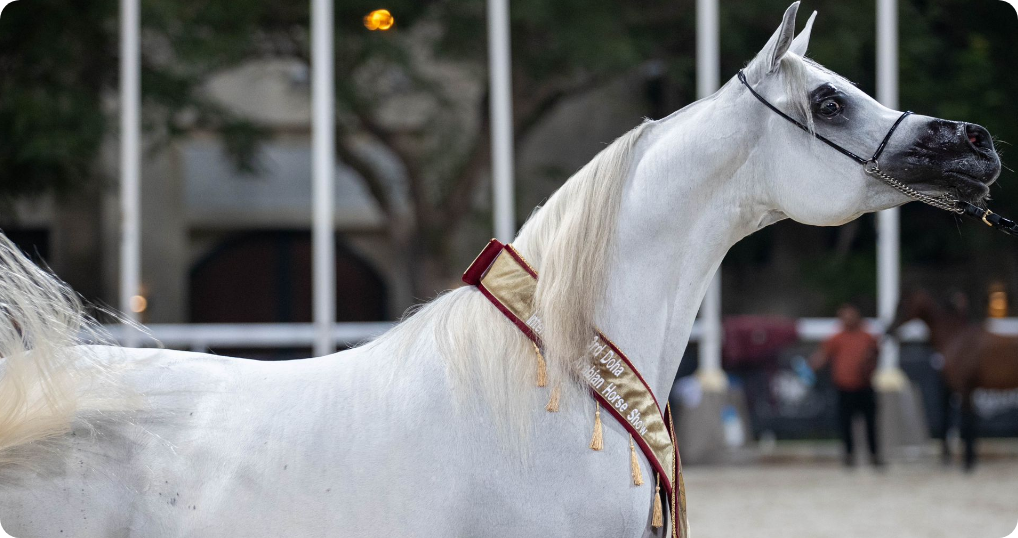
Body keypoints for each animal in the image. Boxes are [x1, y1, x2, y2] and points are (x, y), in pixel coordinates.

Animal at [887, 289, 1018, 470]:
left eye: (902, 305)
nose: (888, 330)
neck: (955, 338)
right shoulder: (954, 388)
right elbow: (953, 420)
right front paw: (958, 459)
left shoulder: (964, 387)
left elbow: (966, 420)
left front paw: (968, 463)